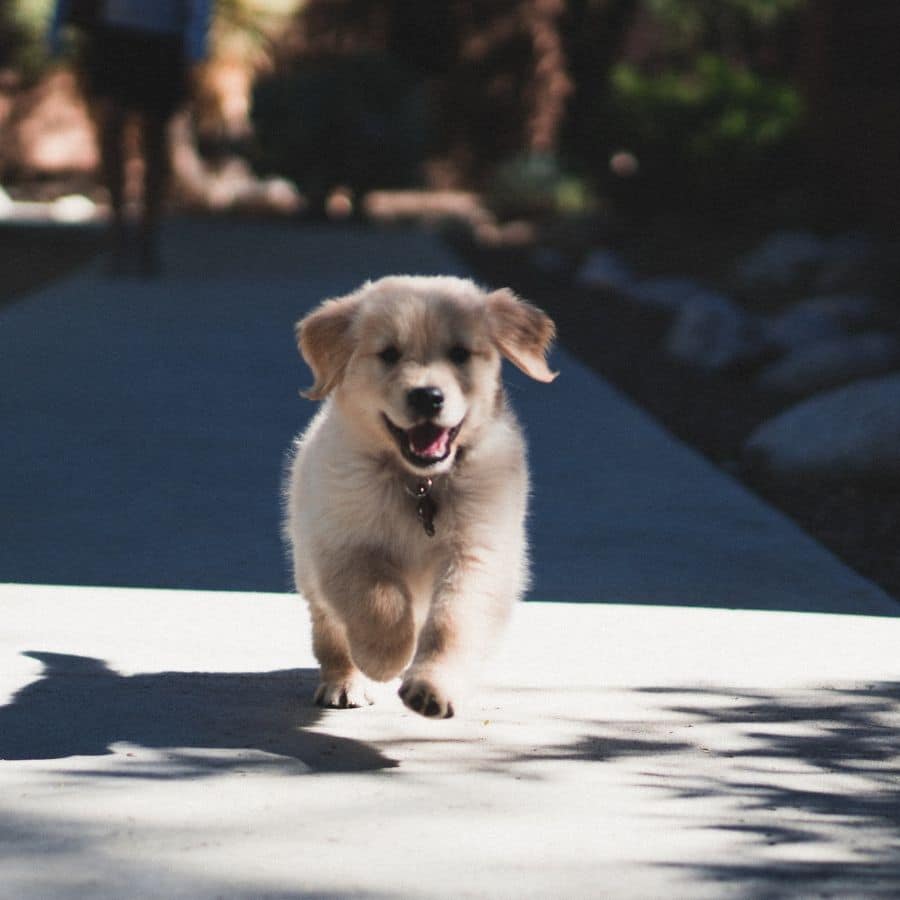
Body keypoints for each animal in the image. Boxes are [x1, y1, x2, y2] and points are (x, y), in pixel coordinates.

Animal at [286, 274, 556, 716]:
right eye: (389, 354)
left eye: (460, 353)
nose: (427, 396)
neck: (419, 483)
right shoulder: (343, 543)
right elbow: (378, 599)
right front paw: (385, 656)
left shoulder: (478, 551)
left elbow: (453, 622)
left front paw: (432, 687)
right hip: (309, 566)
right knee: (330, 632)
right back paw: (345, 681)